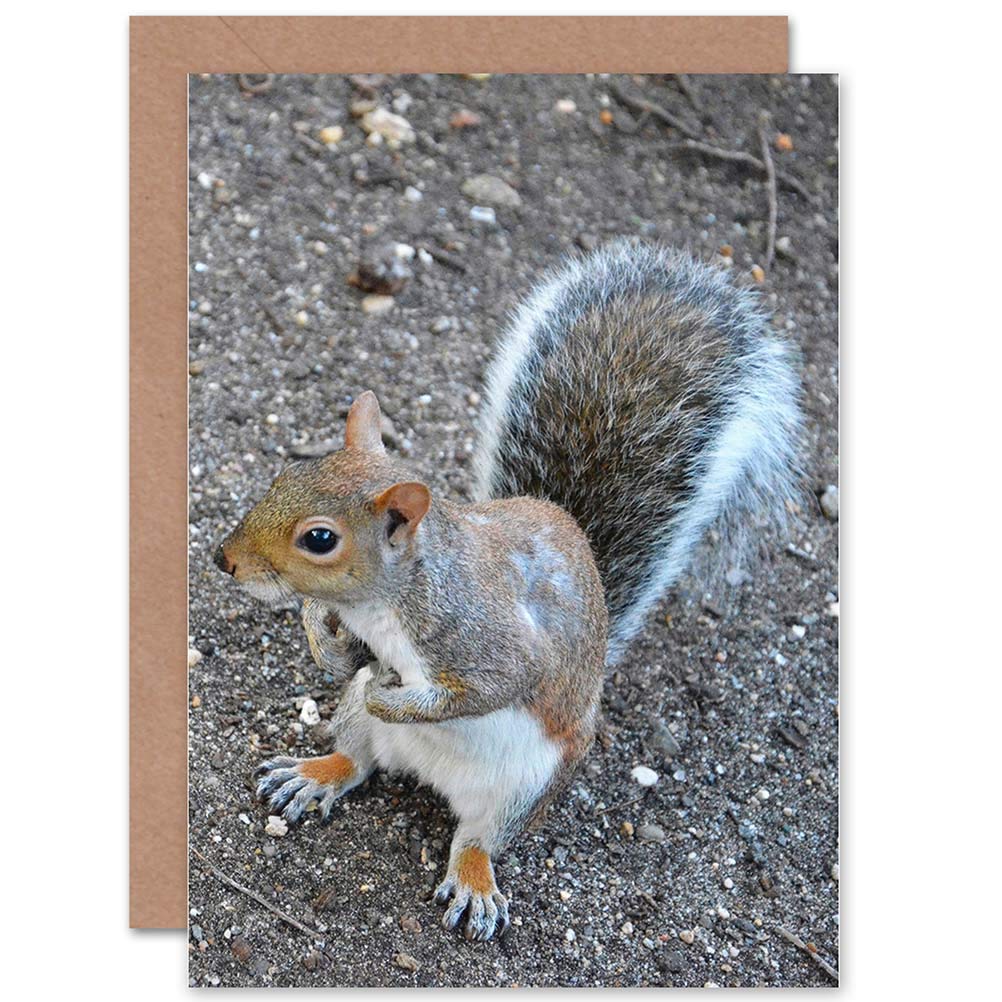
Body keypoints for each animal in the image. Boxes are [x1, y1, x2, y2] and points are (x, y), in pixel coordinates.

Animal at [215, 241, 802, 942]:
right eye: (286, 472)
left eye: (320, 539)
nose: (224, 560)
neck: (389, 601)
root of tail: (430, 775)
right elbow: (328, 628)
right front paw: (322, 639)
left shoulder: (485, 639)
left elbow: (491, 685)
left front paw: (397, 697)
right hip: (354, 718)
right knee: (358, 759)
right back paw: (316, 773)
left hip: (526, 785)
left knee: (479, 838)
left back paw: (471, 874)